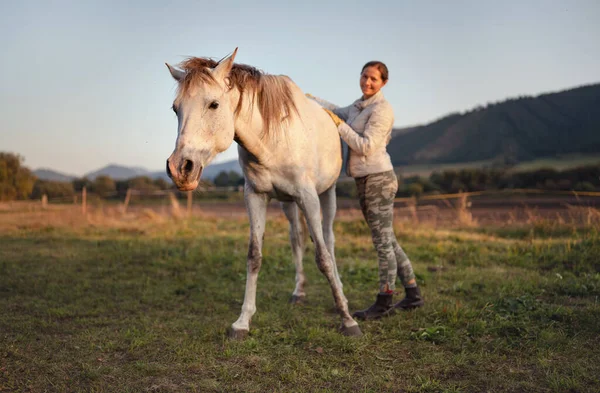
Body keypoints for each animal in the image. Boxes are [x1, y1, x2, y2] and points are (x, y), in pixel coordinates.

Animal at [164, 48, 360, 336]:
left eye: (214, 104)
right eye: (175, 108)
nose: (180, 168)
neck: (271, 139)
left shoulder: (309, 197)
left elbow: (323, 256)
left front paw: (347, 320)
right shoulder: (255, 196)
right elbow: (254, 256)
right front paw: (242, 321)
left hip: (327, 194)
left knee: (329, 240)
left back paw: (342, 293)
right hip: (288, 203)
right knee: (297, 239)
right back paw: (299, 292)